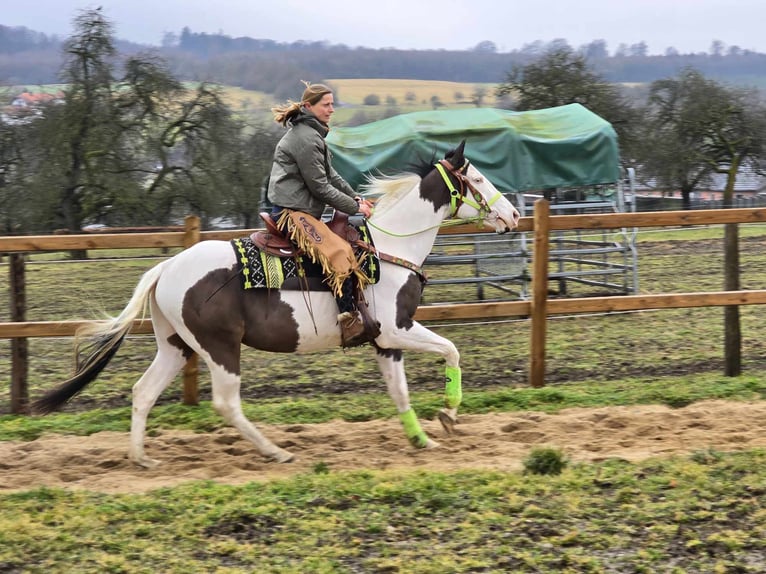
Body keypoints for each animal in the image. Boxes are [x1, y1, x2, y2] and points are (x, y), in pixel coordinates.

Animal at [31, 140, 520, 468]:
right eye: (477, 179)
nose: (513, 215)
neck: (387, 251)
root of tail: (167, 267)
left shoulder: (385, 342)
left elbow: (400, 391)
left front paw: (423, 440)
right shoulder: (398, 328)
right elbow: (451, 350)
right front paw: (449, 414)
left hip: (175, 346)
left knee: (143, 392)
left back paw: (141, 458)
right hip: (219, 348)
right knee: (226, 403)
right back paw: (275, 451)